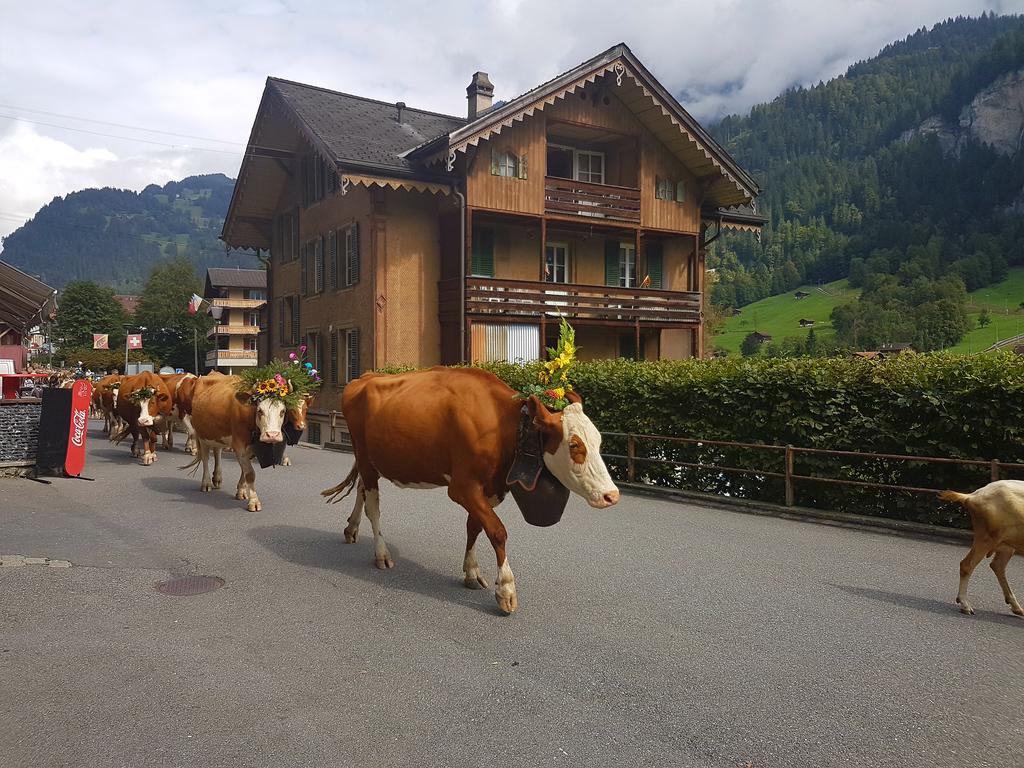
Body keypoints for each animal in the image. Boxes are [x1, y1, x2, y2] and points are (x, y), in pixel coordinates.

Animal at [181, 376, 307, 514]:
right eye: (260, 411)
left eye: (283, 411)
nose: (272, 435)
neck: (250, 416)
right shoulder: (239, 445)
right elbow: (250, 474)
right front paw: (254, 502)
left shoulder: (252, 448)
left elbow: (244, 470)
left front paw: (241, 491)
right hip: (202, 435)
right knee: (205, 458)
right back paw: (206, 483)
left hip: (217, 433)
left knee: (217, 451)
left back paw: (217, 478)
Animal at [319, 368, 614, 618]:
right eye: (575, 445)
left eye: (599, 440)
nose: (611, 495)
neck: (503, 425)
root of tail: (365, 377)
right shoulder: (462, 487)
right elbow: (497, 531)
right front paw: (506, 589)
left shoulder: (490, 488)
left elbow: (475, 526)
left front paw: (471, 571)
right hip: (366, 457)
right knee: (373, 506)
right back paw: (381, 553)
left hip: (370, 460)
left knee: (361, 490)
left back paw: (351, 528)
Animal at [937, 481, 1019, 618]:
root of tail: (972, 495)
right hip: (986, 538)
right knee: (968, 565)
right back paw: (965, 605)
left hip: (1006, 544)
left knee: (997, 565)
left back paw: (1017, 608)